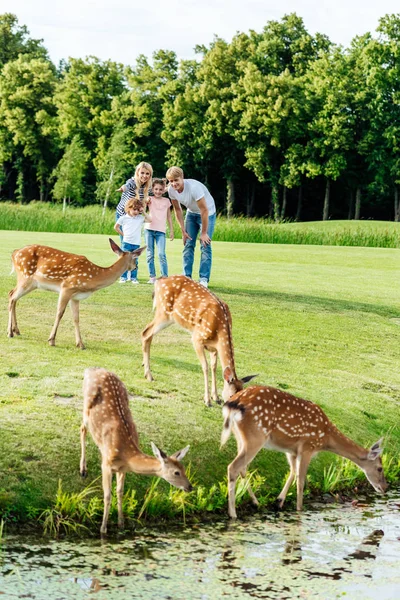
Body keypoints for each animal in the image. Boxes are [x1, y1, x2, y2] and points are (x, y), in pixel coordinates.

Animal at [7, 239, 146, 350]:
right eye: (135, 258)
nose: (135, 267)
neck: (93, 278)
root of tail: (14, 253)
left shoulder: (75, 296)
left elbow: (76, 318)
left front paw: (80, 344)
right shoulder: (67, 287)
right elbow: (60, 313)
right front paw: (51, 340)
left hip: (30, 283)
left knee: (12, 294)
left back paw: (16, 330)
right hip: (25, 277)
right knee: (12, 296)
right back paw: (9, 332)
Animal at [80, 366, 193, 536]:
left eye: (185, 469)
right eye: (176, 472)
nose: (190, 487)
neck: (127, 454)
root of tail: (90, 369)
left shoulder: (122, 469)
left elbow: (120, 492)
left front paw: (121, 523)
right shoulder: (106, 463)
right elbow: (107, 495)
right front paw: (103, 529)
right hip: (86, 406)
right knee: (82, 428)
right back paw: (83, 469)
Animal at [142, 276, 255, 408]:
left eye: (241, 394)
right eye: (232, 395)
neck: (220, 328)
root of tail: (159, 280)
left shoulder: (214, 347)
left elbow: (214, 367)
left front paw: (216, 397)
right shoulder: (197, 339)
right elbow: (205, 367)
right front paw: (207, 400)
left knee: (147, 334)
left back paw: (145, 368)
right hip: (164, 313)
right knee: (146, 333)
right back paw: (149, 375)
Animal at [220, 386, 390, 516]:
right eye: (380, 468)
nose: (385, 488)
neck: (326, 438)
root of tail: (234, 403)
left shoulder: (292, 450)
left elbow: (292, 472)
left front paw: (278, 502)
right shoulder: (308, 446)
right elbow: (301, 480)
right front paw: (299, 509)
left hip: (239, 437)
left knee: (242, 467)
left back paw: (255, 503)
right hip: (256, 436)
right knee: (233, 467)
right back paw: (233, 514)